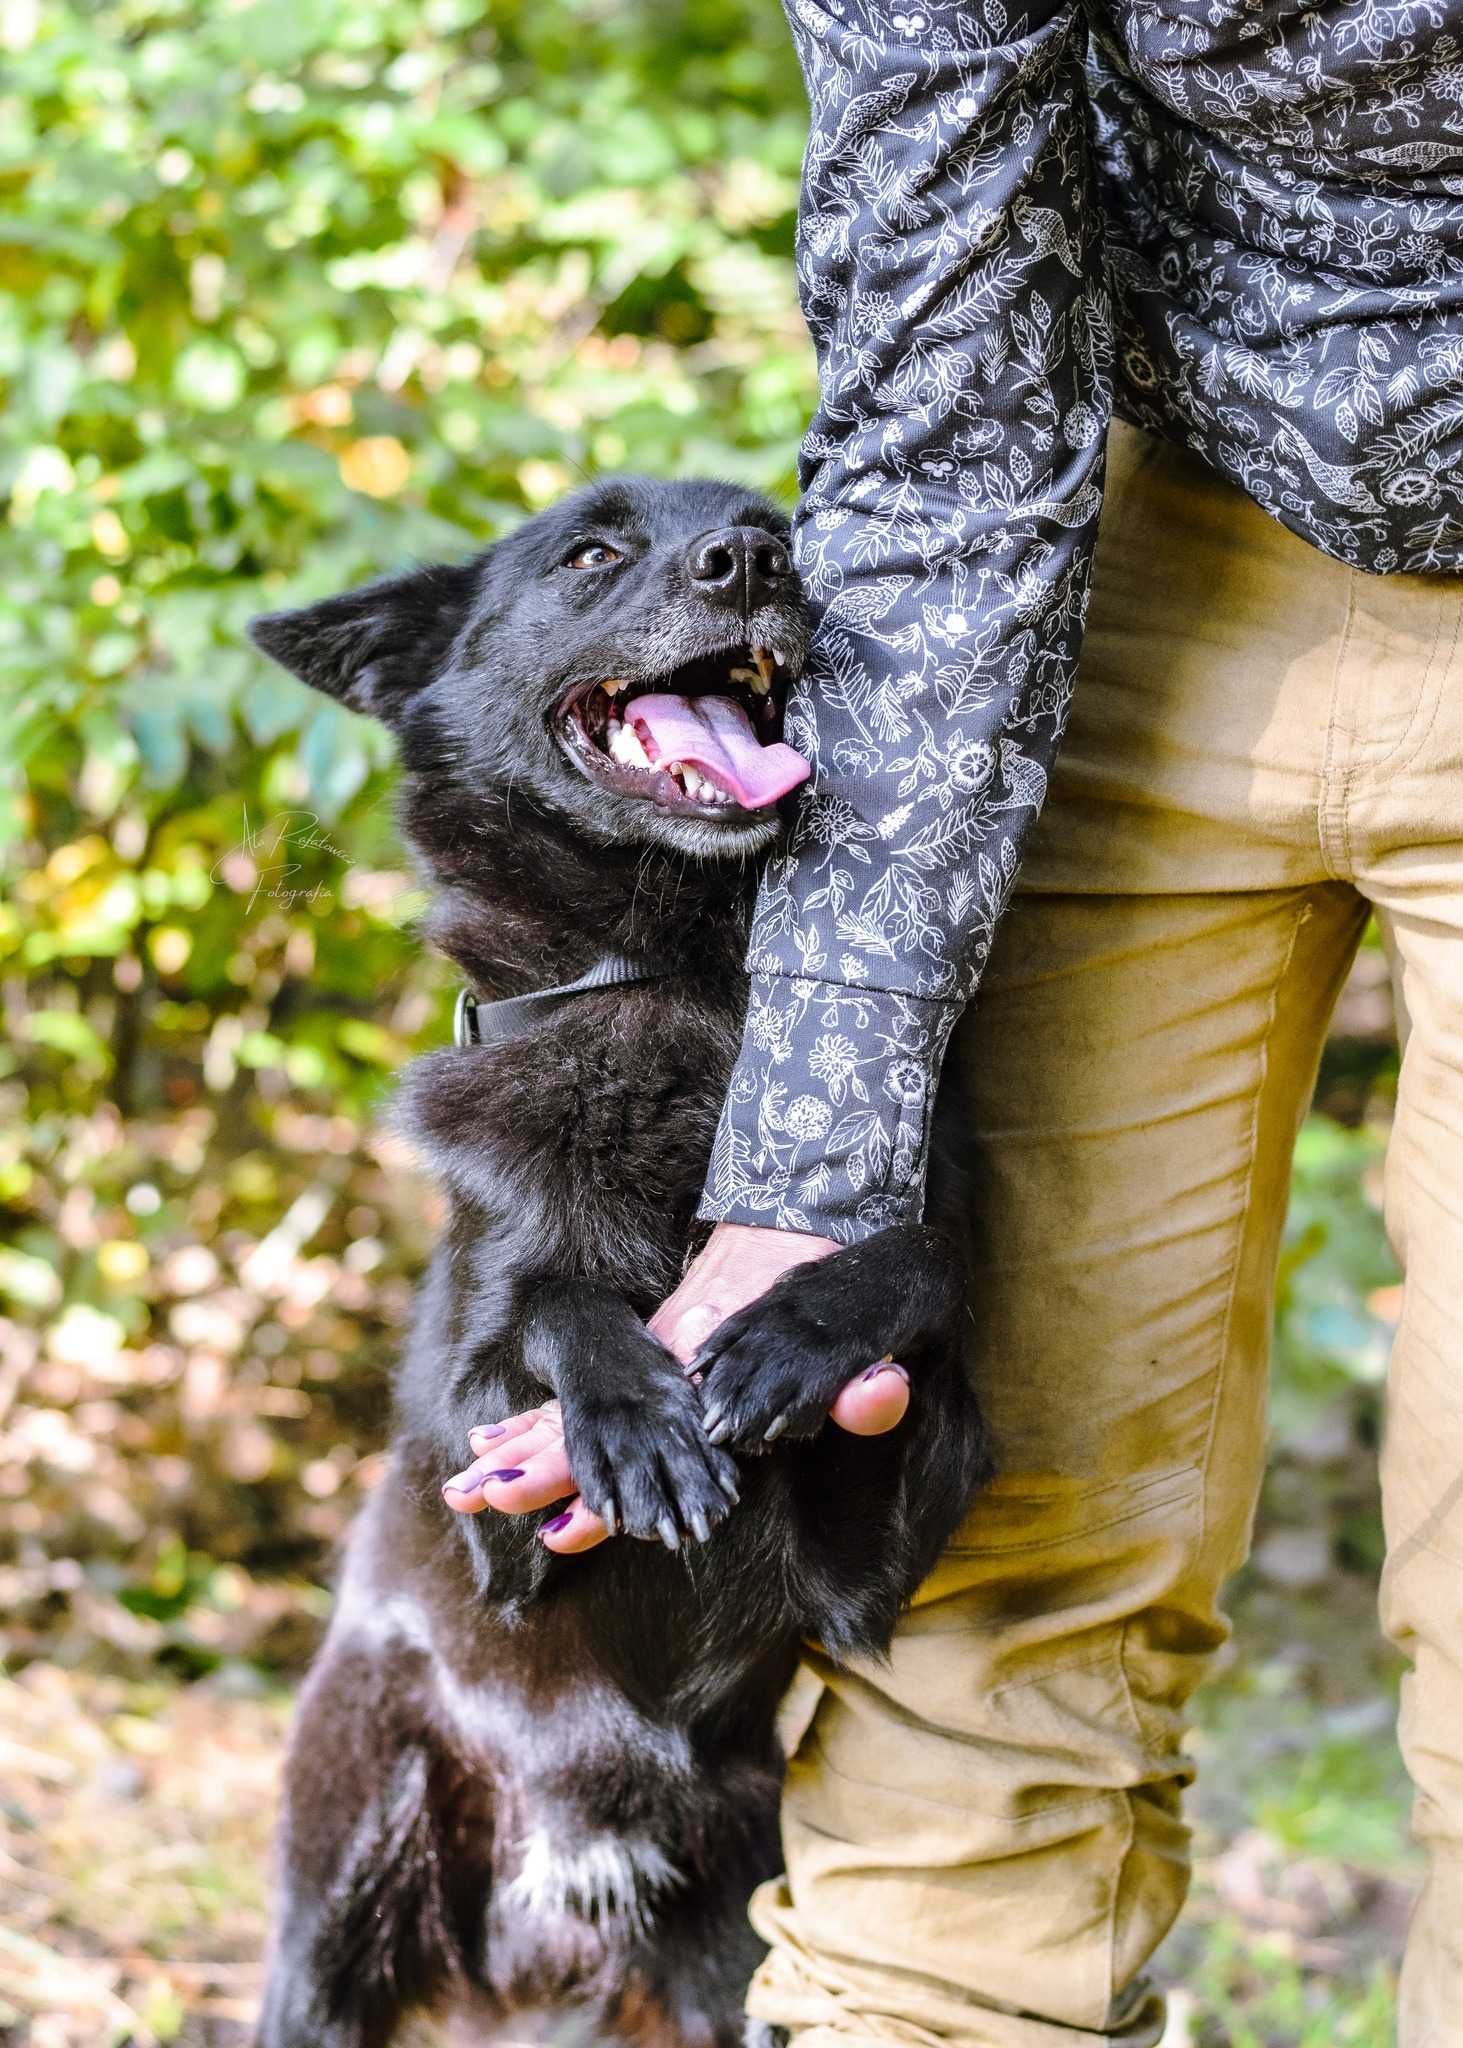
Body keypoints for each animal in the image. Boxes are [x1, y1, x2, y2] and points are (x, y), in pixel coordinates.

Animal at [247, 479, 991, 2048]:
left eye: (767, 517)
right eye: (590, 551)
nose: (752, 556)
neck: (685, 980)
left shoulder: (879, 1545)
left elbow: (917, 1260)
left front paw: (787, 1331)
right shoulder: (486, 1479)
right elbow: (555, 1307)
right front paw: (639, 1419)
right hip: (344, 1872)